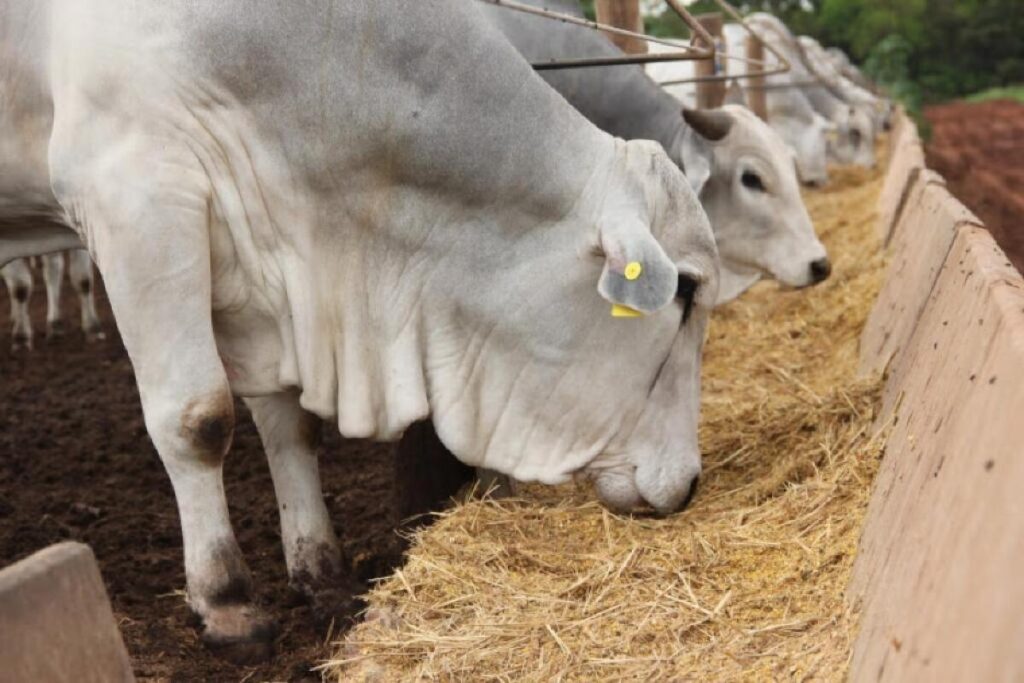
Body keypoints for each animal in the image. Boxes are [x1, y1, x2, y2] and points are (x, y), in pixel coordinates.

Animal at [0, 0, 720, 663]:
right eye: (684, 289)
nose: (689, 484)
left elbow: (289, 425)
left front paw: (320, 573)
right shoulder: (133, 195)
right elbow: (197, 419)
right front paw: (229, 604)